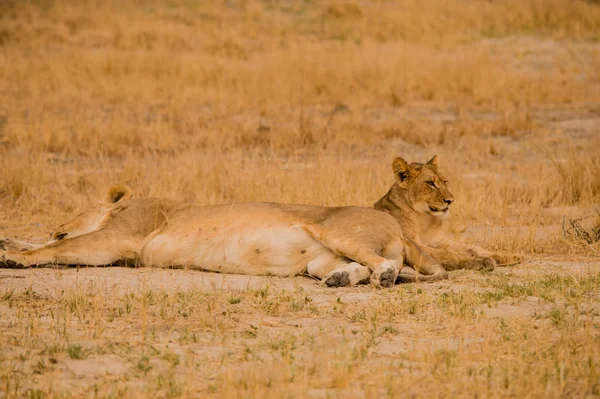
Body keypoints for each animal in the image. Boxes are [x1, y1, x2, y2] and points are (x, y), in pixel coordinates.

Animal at [0, 156, 516, 288]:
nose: (58, 221)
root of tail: (394, 226)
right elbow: (42, 244)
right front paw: (11, 244)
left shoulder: (119, 241)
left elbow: (54, 249)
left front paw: (13, 258)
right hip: (320, 256)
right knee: (357, 268)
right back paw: (339, 280)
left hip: (337, 231)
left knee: (386, 266)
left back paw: (382, 277)